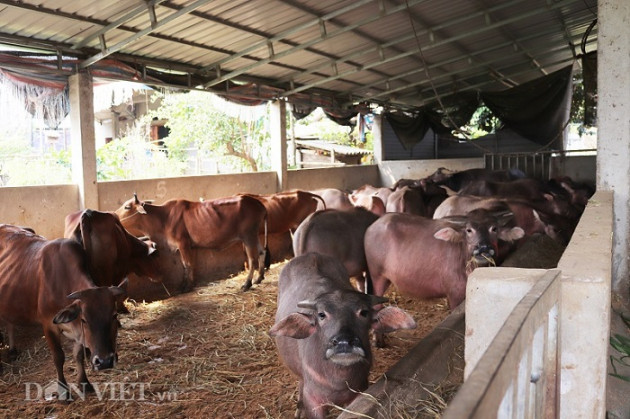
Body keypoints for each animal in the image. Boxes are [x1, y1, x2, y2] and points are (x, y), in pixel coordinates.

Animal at [0, 225, 127, 402]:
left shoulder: (78, 333)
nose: (105, 361)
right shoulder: (48, 324)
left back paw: (12, 351)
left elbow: (78, 354)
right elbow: (58, 357)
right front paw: (63, 391)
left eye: (114, 315)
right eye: (84, 319)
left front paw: (84, 383)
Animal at [115, 194, 268, 292]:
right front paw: (184, 284)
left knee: (252, 259)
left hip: (248, 236)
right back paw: (259, 278)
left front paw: (187, 286)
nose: (114, 214)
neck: (163, 218)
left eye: (127, 207)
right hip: (254, 235)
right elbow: (185, 265)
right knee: (262, 252)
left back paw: (247, 284)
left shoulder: (183, 243)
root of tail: (258, 203)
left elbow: (187, 264)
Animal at [270, 253, 418, 419]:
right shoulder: (313, 401)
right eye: (321, 314)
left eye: (364, 312)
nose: (344, 343)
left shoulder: (359, 392)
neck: (338, 382)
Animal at [362, 210, 524, 344]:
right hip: (377, 276)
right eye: (469, 230)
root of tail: (374, 225)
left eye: (494, 228)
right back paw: (378, 340)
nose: (483, 248)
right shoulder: (455, 295)